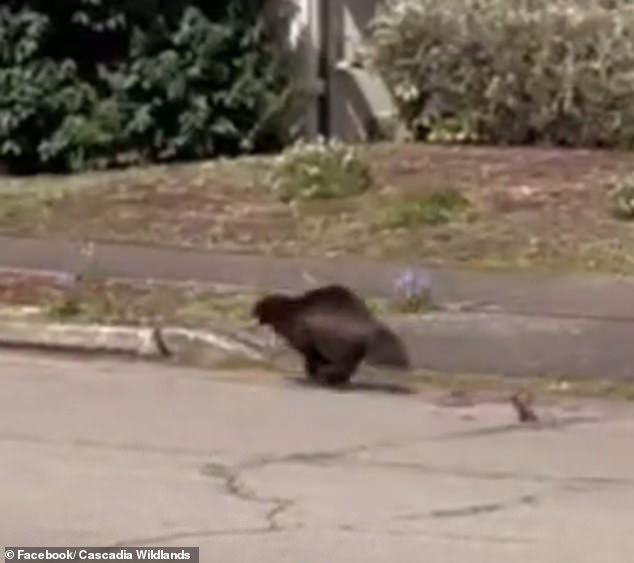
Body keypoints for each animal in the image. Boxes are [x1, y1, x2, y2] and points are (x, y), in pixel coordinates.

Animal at [249, 284, 408, 386]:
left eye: (258, 309)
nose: (252, 313)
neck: (289, 311)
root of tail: (369, 322)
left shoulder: (305, 334)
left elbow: (311, 354)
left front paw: (313, 374)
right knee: (349, 363)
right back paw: (337, 378)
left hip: (338, 339)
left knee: (342, 362)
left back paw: (329, 375)